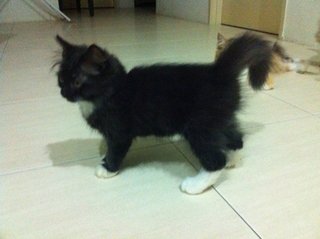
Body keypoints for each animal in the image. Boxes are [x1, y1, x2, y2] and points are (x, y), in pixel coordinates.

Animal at [56, 33, 272, 194]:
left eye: (77, 82)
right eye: (61, 80)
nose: (63, 93)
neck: (113, 90)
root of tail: (219, 72)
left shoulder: (119, 133)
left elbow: (115, 150)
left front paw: (108, 168)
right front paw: (104, 159)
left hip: (199, 127)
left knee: (216, 160)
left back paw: (195, 184)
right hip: (219, 120)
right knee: (236, 138)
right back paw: (232, 159)